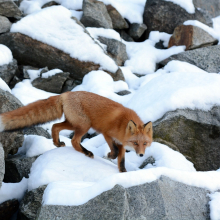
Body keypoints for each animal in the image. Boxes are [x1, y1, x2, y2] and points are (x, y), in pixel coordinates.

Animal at [0, 91, 153, 172]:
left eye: (144, 143)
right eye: (135, 143)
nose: (141, 155)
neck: (122, 124)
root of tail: (65, 94)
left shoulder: (121, 142)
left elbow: (121, 160)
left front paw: (123, 172)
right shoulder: (107, 134)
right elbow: (115, 152)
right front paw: (110, 155)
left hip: (72, 124)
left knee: (55, 126)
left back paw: (58, 143)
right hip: (84, 125)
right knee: (74, 141)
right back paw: (86, 152)